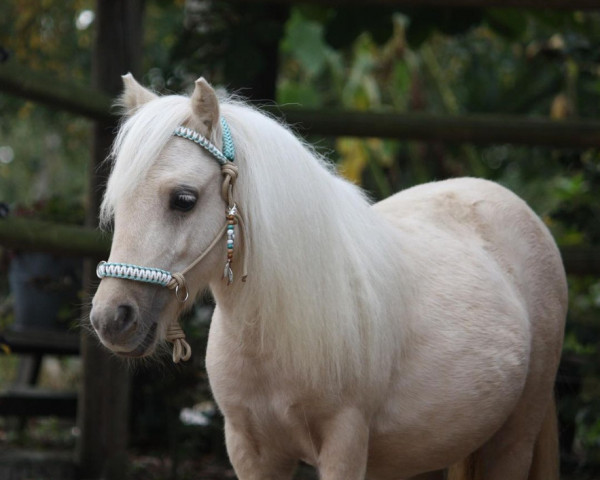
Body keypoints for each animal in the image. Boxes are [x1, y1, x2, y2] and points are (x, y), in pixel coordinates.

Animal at [89, 73, 568, 478]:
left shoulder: (345, 442)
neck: (272, 332)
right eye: (119, 203)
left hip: (513, 439)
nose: (112, 319)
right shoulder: (251, 451)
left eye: (184, 199)